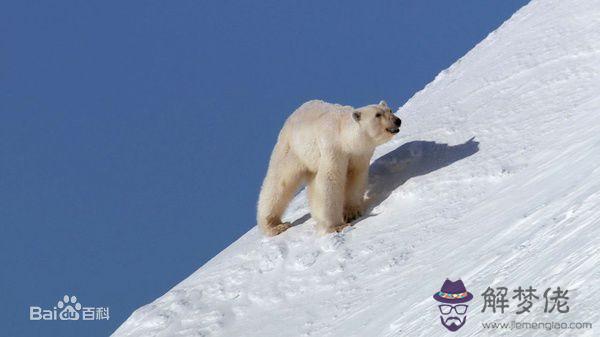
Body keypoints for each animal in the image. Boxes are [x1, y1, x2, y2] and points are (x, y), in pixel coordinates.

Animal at [255, 100, 400, 235]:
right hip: (292, 151)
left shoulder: (360, 154)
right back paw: (276, 226)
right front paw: (336, 226)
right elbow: (330, 180)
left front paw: (352, 212)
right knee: (279, 183)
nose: (397, 121)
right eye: (378, 114)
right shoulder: (333, 148)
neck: (344, 136)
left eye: (390, 110)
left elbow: (356, 177)